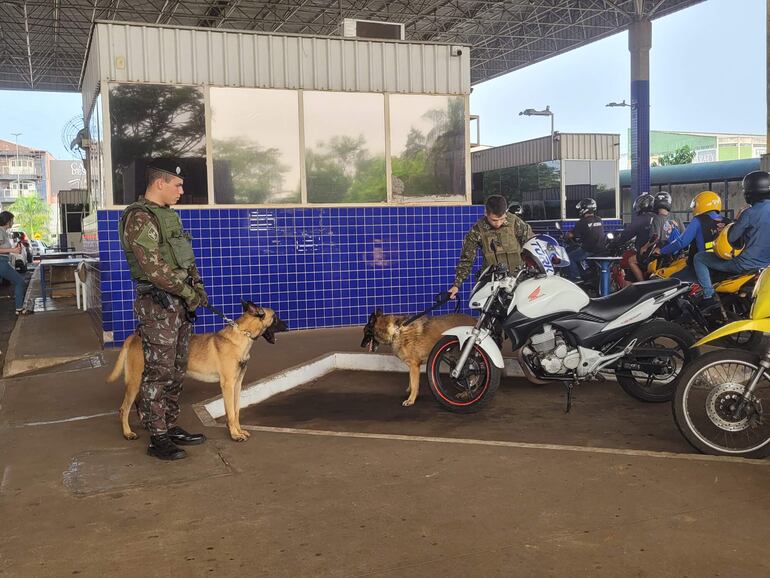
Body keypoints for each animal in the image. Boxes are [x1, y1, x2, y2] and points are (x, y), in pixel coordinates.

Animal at [106, 300, 286, 438]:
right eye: (275, 317)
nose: (287, 325)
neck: (241, 336)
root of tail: (134, 336)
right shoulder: (227, 385)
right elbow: (230, 413)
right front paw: (235, 435)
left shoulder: (237, 384)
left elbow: (236, 411)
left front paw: (239, 430)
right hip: (135, 381)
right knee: (124, 409)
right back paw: (127, 432)